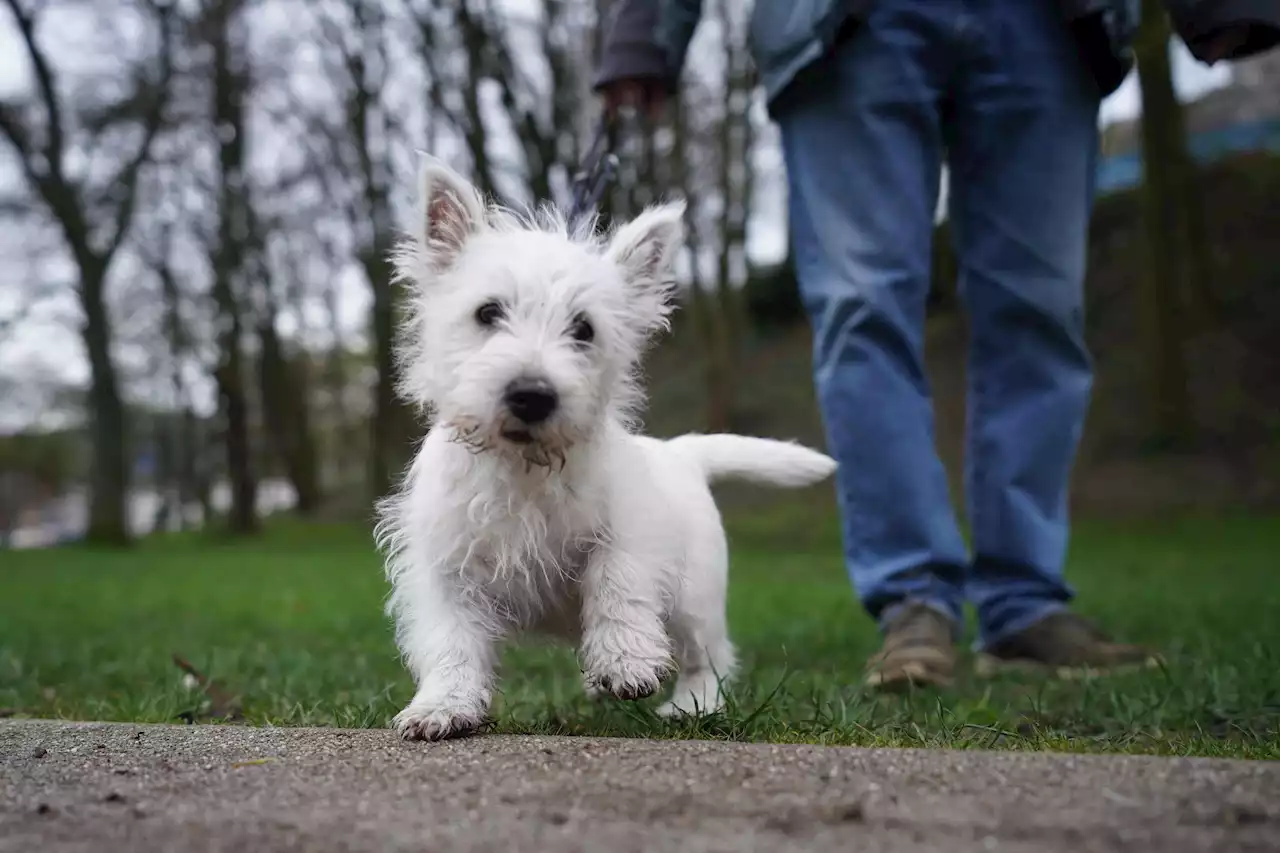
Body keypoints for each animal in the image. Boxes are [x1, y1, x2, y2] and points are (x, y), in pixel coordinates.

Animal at [376, 156, 839, 742]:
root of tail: (682, 453)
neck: (526, 467)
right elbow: (451, 642)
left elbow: (617, 582)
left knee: (706, 654)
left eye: (583, 328)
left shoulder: (628, 531)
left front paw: (627, 661)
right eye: (487, 312)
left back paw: (691, 704)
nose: (532, 395)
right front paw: (442, 706)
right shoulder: (446, 568)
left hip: (695, 597)